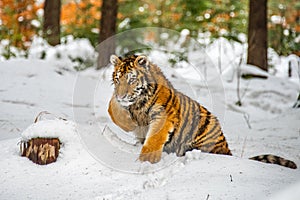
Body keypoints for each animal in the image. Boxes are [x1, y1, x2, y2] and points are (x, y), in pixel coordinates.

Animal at [106, 53, 296, 169]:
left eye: (131, 79)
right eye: (117, 79)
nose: (121, 96)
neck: (137, 104)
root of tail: (227, 149)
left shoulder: (163, 115)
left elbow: (154, 139)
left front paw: (146, 161)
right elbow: (112, 109)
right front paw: (128, 123)